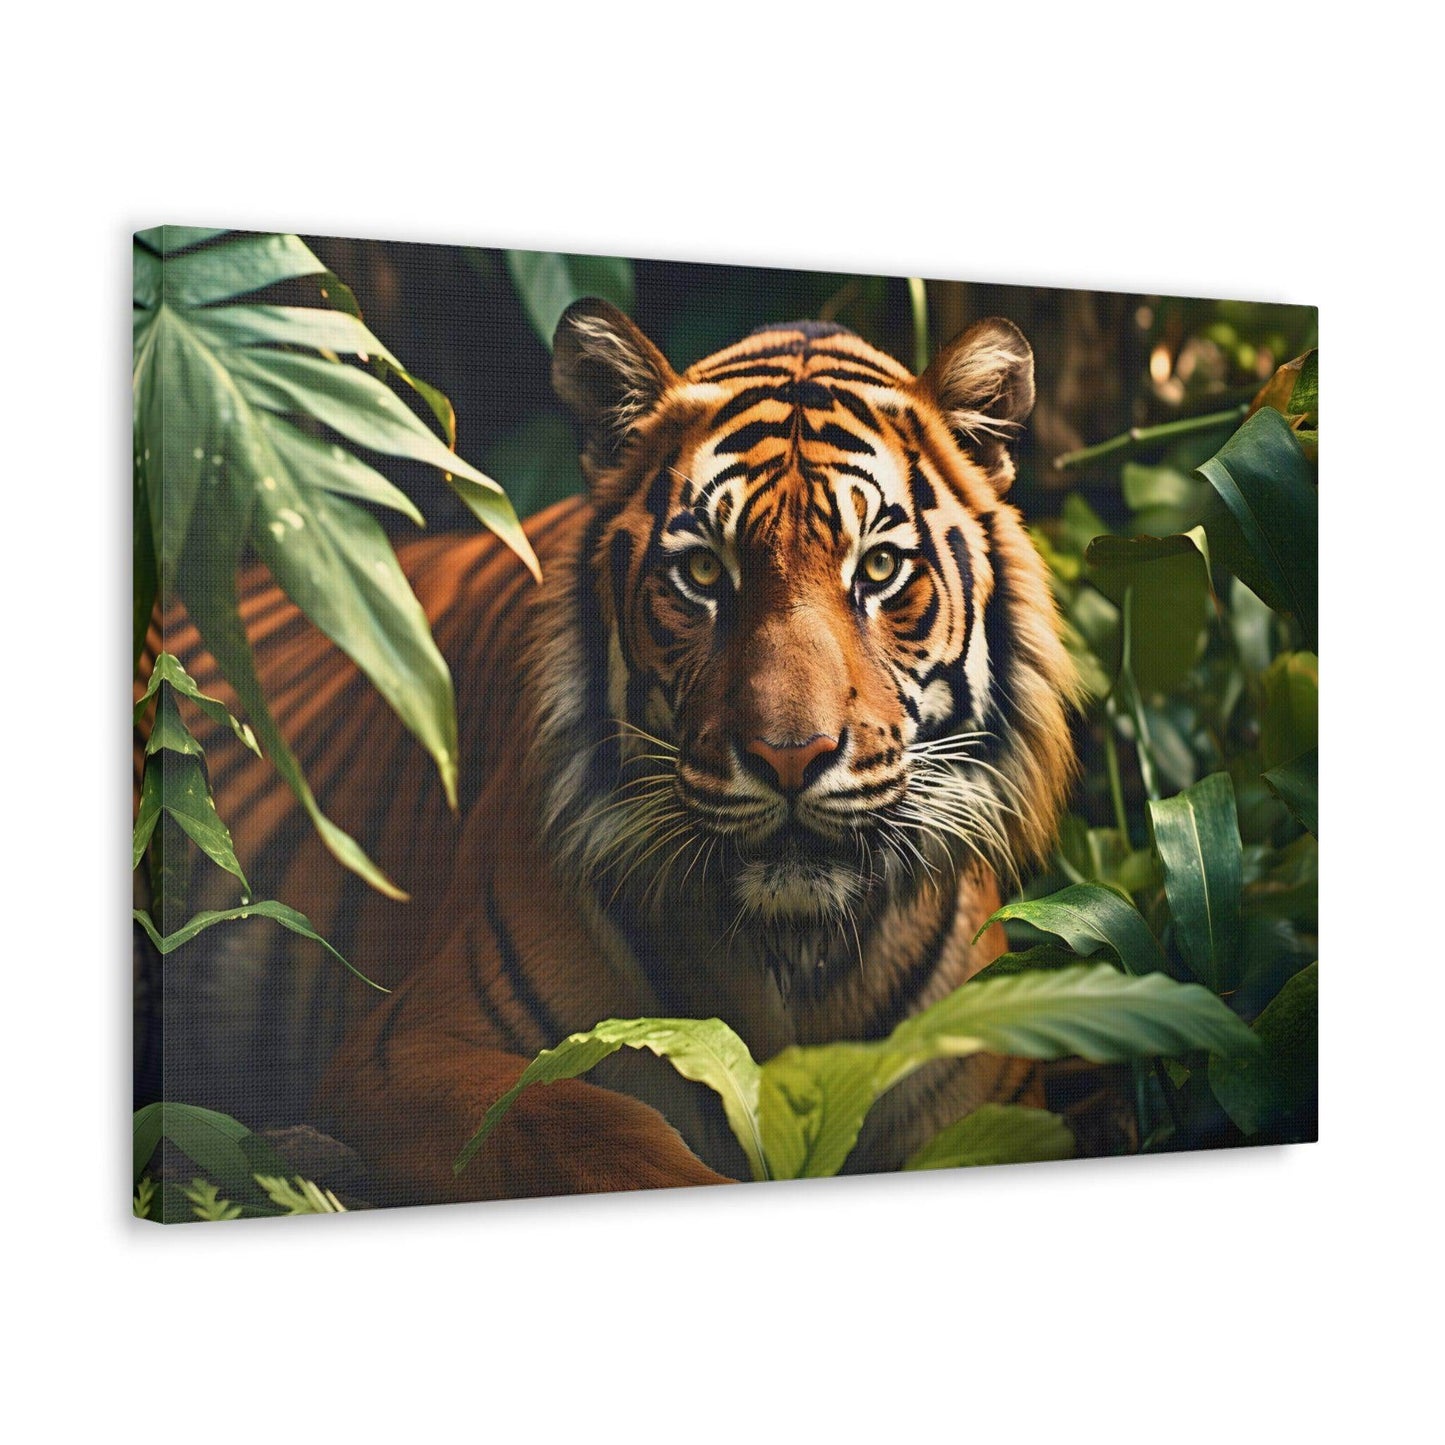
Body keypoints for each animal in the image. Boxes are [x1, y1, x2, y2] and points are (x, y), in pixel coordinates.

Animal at [140, 301, 1084, 1205]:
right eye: (702, 575)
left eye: (880, 568)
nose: (788, 757)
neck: (791, 957)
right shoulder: (403, 1050)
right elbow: (580, 1123)